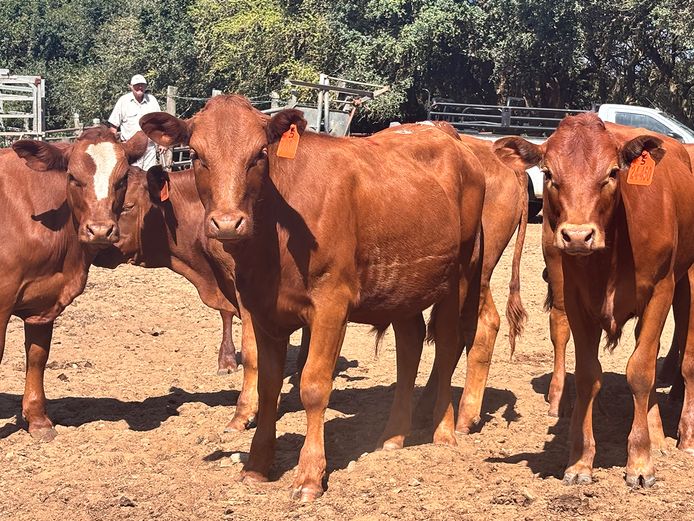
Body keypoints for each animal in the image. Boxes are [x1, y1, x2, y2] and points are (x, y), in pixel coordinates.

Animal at [1, 127, 147, 441]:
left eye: (122, 179)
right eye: (72, 176)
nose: (100, 230)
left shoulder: (44, 300)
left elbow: (38, 356)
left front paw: (38, 420)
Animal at [140, 94, 486, 501]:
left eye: (260, 153)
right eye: (195, 154)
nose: (227, 223)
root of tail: (448, 135)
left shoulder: (331, 305)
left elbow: (314, 387)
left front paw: (309, 475)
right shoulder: (263, 310)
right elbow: (268, 385)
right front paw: (257, 465)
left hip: (460, 271)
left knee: (448, 343)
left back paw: (444, 431)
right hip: (403, 284)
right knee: (410, 345)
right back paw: (393, 435)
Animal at [494, 112, 694, 488]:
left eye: (613, 172)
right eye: (548, 174)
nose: (577, 235)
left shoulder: (661, 290)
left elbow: (641, 371)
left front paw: (640, 461)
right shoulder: (576, 296)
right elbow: (588, 374)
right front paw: (580, 460)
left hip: (685, 280)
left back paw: (680, 435)